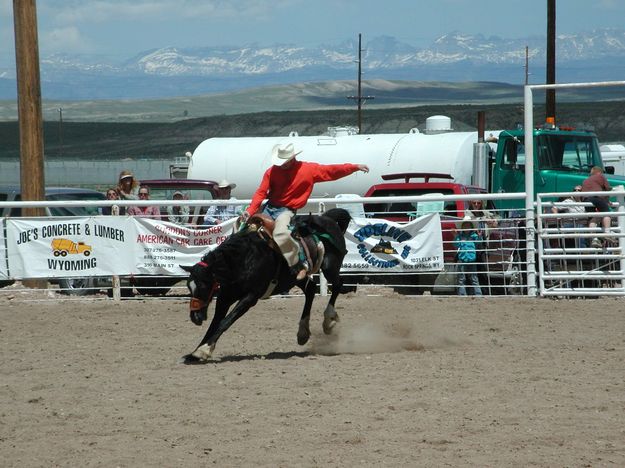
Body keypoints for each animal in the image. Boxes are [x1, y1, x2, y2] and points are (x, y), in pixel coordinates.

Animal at [182, 207, 352, 362]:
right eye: (190, 288)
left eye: (203, 286)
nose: (195, 317)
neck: (243, 259)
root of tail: (327, 218)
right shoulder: (225, 297)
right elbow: (215, 323)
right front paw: (195, 352)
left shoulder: (250, 297)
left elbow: (225, 321)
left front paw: (203, 350)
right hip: (296, 277)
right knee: (310, 289)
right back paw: (302, 333)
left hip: (330, 266)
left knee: (338, 285)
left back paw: (328, 321)